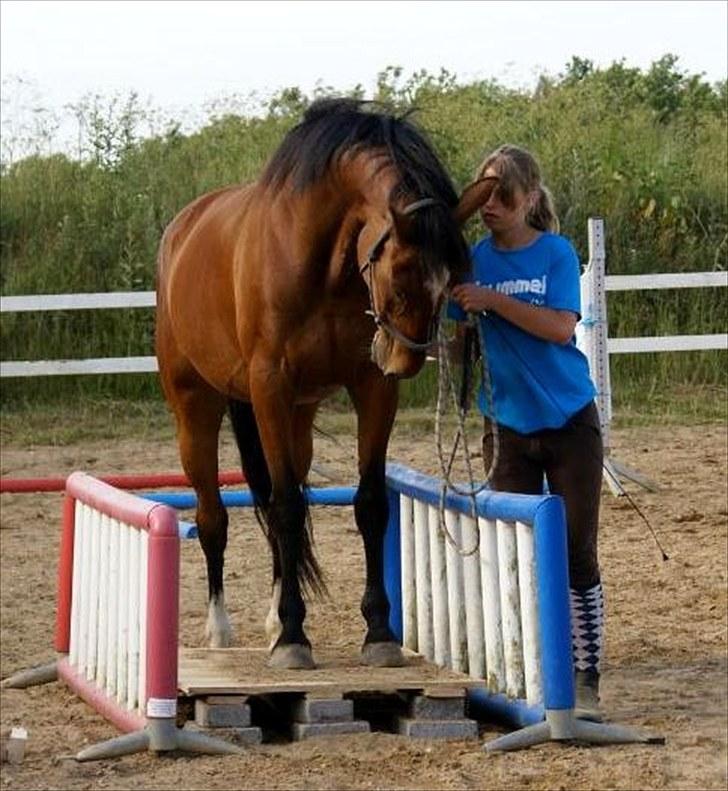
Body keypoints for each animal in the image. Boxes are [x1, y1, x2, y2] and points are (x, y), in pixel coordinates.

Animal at [155, 97, 494, 668]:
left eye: (451, 279)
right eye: (400, 270)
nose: (404, 360)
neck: (321, 265)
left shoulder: (372, 388)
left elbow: (367, 503)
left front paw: (377, 632)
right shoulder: (270, 389)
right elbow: (288, 508)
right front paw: (294, 638)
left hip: (299, 417)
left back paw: (273, 618)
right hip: (196, 409)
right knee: (213, 516)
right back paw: (221, 628)